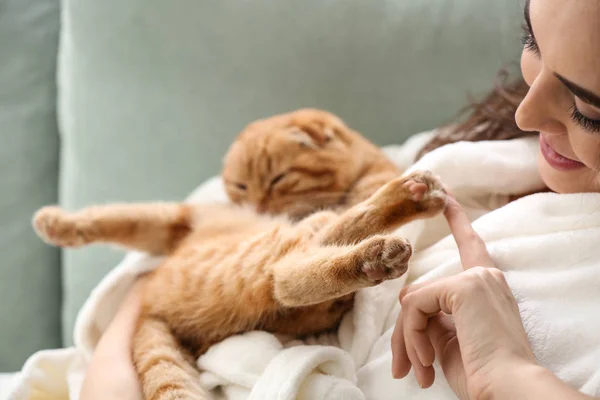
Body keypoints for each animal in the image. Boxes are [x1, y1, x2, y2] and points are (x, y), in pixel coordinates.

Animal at [32, 108, 446, 398]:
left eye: (279, 179)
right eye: (241, 185)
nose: (258, 205)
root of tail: (151, 307)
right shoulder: (181, 221)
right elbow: (113, 218)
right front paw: (57, 224)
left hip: (250, 254)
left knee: (289, 277)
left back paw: (397, 220)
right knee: (291, 275)